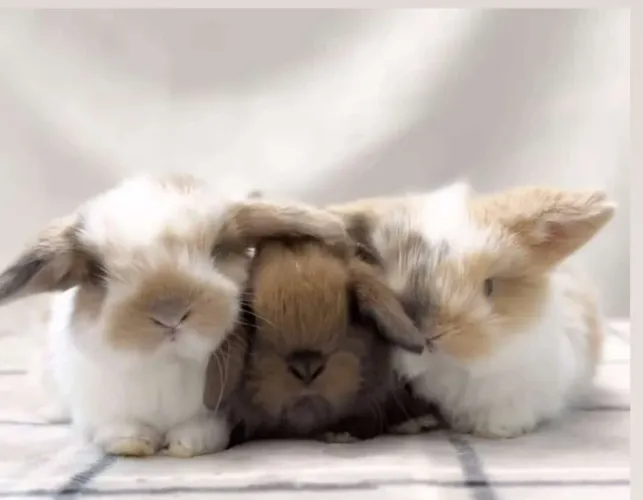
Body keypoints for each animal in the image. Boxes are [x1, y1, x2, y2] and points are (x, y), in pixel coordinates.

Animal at [0, 173, 352, 457]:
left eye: (219, 249)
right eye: (97, 272)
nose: (170, 313)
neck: (167, 366)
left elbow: (202, 430)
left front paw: (186, 444)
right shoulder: (100, 408)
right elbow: (116, 428)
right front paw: (132, 443)